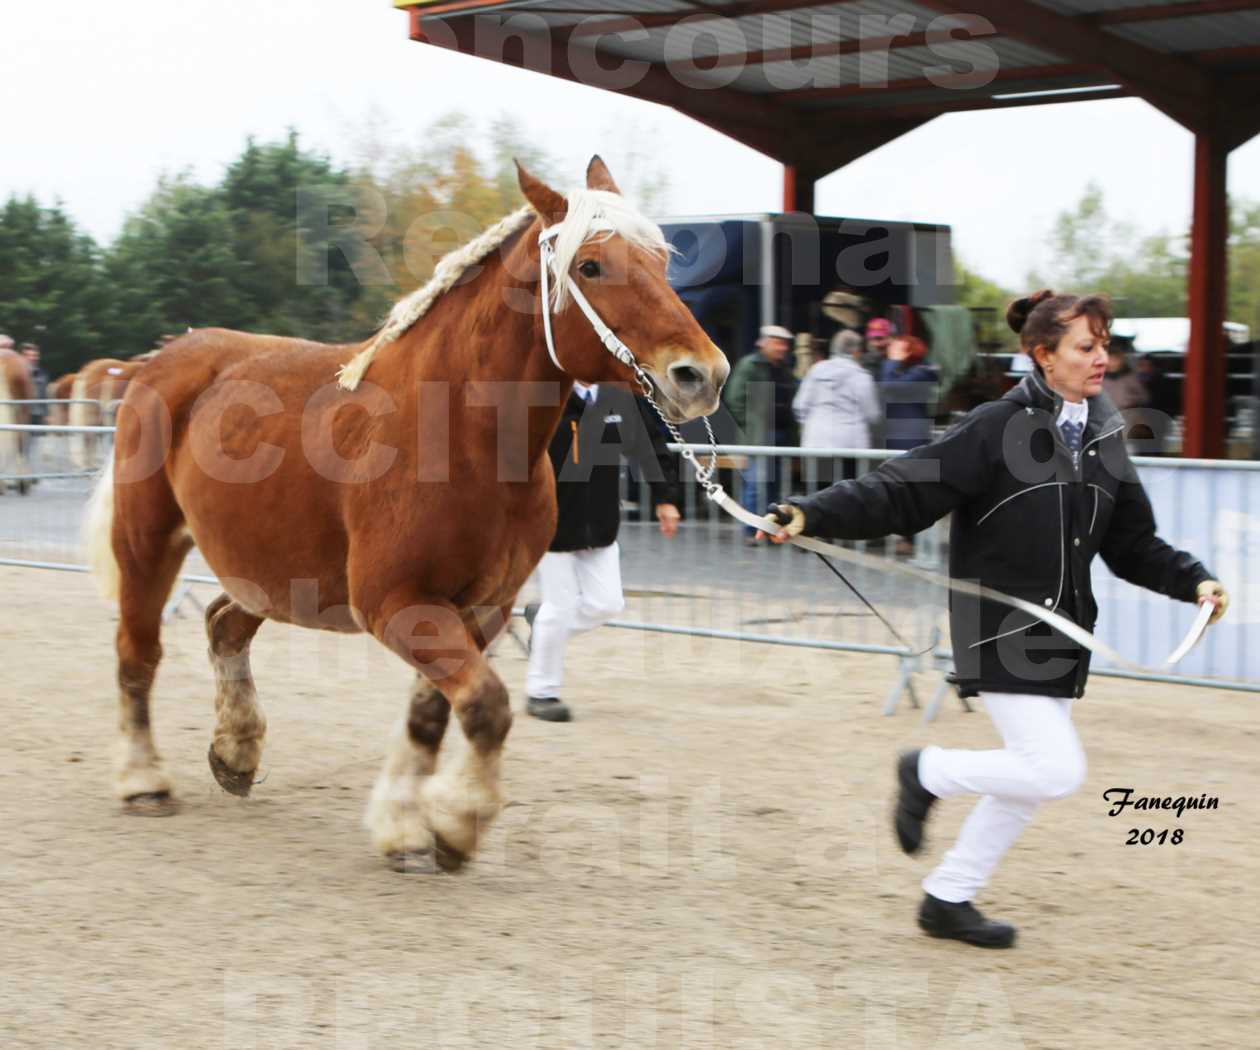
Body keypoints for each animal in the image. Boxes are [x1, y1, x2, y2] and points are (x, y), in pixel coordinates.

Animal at [83, 157, 725, 867]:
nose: (702, 374)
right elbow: (487, 706)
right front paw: (457, 823)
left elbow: (434, 714)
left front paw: (405, 825)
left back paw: (236, 752)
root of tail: (160, 359)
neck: (461, 435)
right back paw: (143, 779)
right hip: (148, 542)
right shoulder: (396, 603)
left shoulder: (481, 608)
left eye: (660, 261)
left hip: (271, 570)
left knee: (224, 624)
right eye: (590, 266)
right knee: (138, 652)